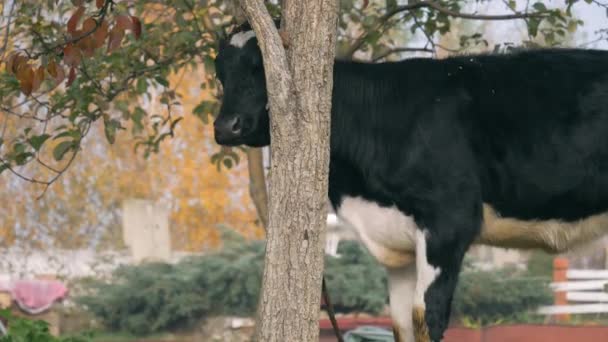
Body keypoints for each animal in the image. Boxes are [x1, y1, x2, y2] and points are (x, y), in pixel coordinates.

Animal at [211, 24, 608, 342]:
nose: (226, 126)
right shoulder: (396, 243)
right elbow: (401, 325)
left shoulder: (448, 223)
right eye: (221, 73)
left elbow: (426, 320)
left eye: (262, 67)